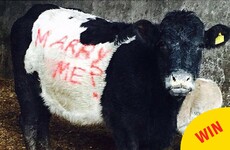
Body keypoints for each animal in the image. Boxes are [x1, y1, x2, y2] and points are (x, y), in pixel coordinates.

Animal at [9, 3, 229, 150]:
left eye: (200, 46)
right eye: (162, 44)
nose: (181, 80)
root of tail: (37, 8)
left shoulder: (161, 132)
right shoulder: (123, 124)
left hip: (45, 89)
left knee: (43, 120)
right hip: (24, 82)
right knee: (30, 122)